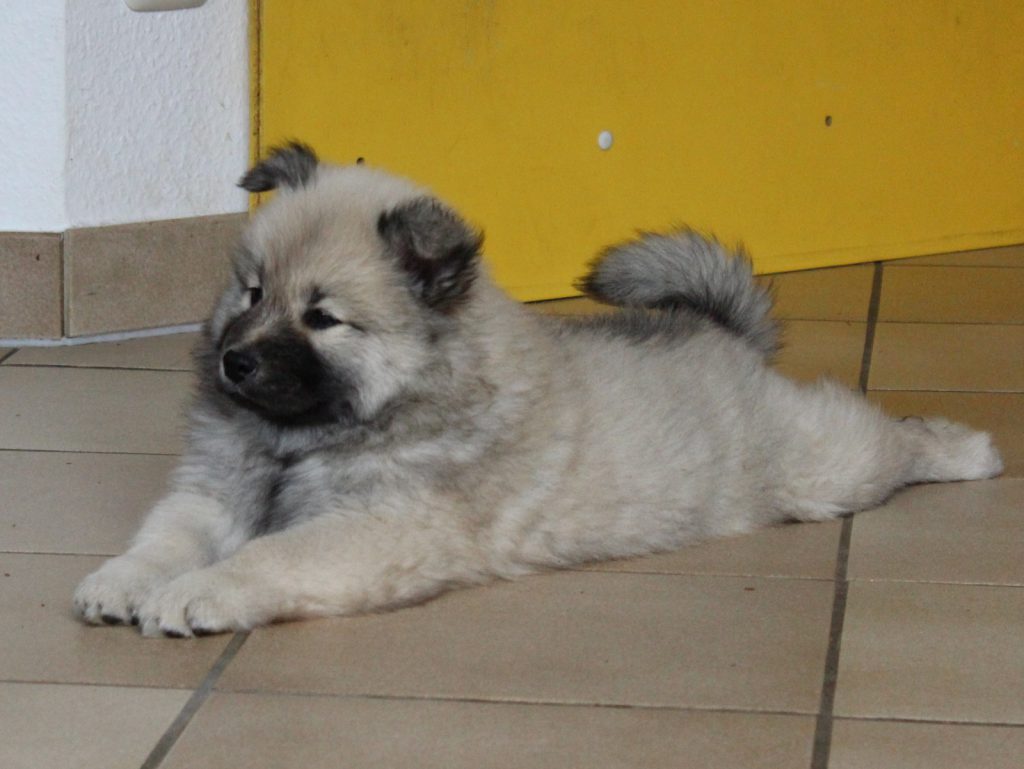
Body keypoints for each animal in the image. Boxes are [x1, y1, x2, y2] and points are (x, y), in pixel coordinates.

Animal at [74, 143, 1003, 637]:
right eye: (251, 292)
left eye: (323, 317)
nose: (234, 362)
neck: (305, 438)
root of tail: (718, 332)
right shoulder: (214, 489)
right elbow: (167, 534)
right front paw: (126, 579)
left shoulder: (378, 526)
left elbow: (268, 554)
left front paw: (198, 593)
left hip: (818, 468)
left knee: (886, 435)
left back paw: (967, 449)